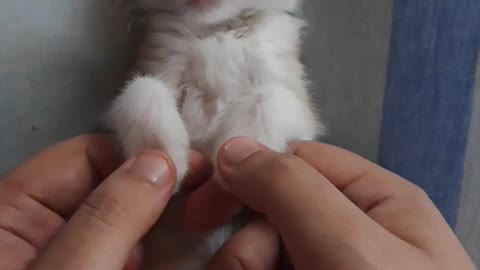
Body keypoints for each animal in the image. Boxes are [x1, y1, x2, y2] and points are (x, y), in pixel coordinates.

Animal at [107, 0, 324, 270]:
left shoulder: (298, 99)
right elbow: (142, 87)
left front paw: (241, 147)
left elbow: (269, 95)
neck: (218, 30)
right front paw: (159, 155)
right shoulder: (161, 63)